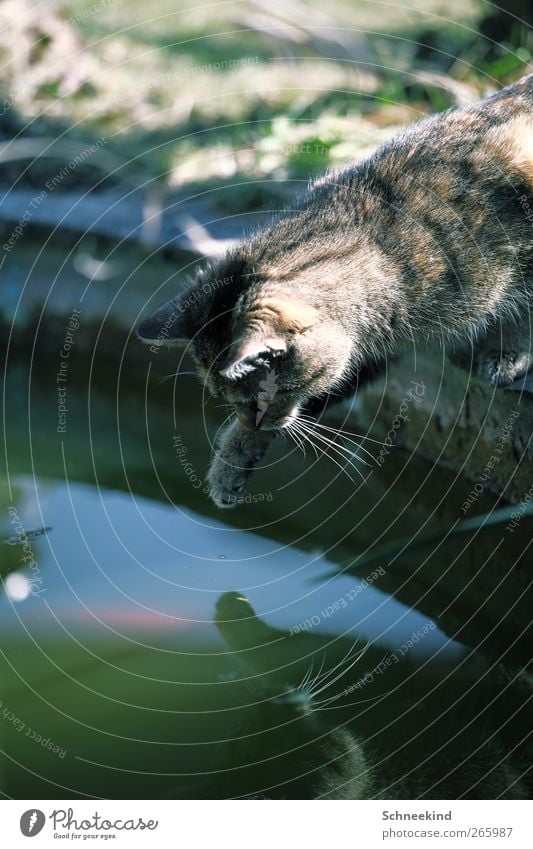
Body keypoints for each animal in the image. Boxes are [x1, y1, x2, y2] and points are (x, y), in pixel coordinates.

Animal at [138, 73, 532, 506]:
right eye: (228, 400)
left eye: (257, 399)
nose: (251, 420)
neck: (385, 250)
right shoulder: (371, 349)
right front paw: (233, 458)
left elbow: (525, 305)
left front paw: (508, 352)